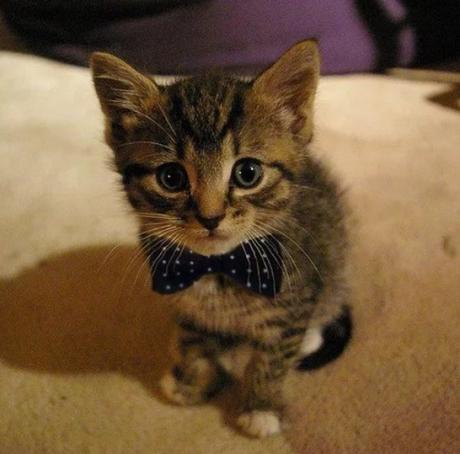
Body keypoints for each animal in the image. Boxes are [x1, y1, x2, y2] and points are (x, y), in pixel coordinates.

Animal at [91, 40, 354, 438]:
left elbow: (274, 356)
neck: (216, 267)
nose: (210, 217)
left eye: (248, 173)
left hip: (332, 260)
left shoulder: (295, 297)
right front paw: (192, 379)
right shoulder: (183, 301)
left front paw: (261, 405)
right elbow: (194, 342)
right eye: (171, 178)